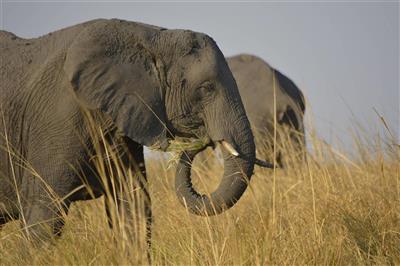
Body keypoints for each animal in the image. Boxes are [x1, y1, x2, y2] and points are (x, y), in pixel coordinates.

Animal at [0, 18, 272, 247]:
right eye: (206, 88)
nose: (204, 140)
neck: (150, 37)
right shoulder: (57, 117)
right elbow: (44, 212)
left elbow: (134, 207)